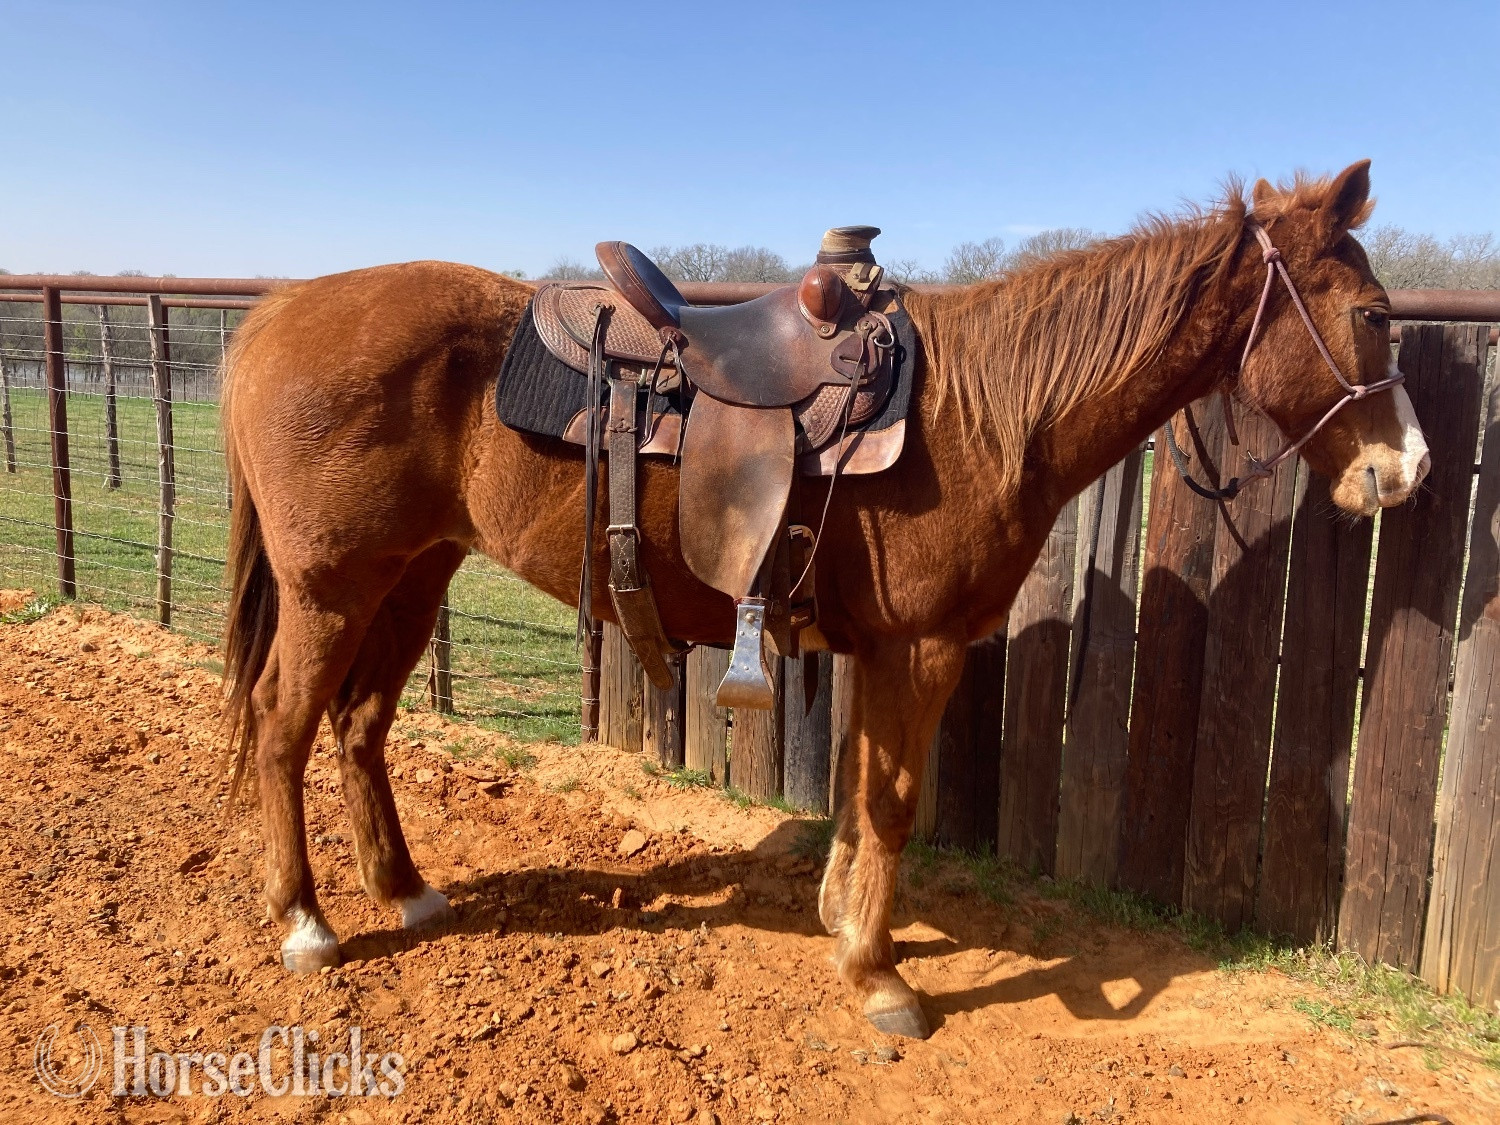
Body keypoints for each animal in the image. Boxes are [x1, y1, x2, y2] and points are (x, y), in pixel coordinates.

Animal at [220, 160, 1428, 1039]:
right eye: (1374, 315)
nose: (1405, 469)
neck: (990, 411)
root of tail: (274, 318)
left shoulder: (879, 649)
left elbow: (856, 786)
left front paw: (842, 914)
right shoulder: (923, 646)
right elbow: (893, 802)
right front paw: (878, 972)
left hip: (412, 575)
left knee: (359, 727)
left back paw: (405, 889)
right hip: (331, 589)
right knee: (283, 726)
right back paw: (306, 921)